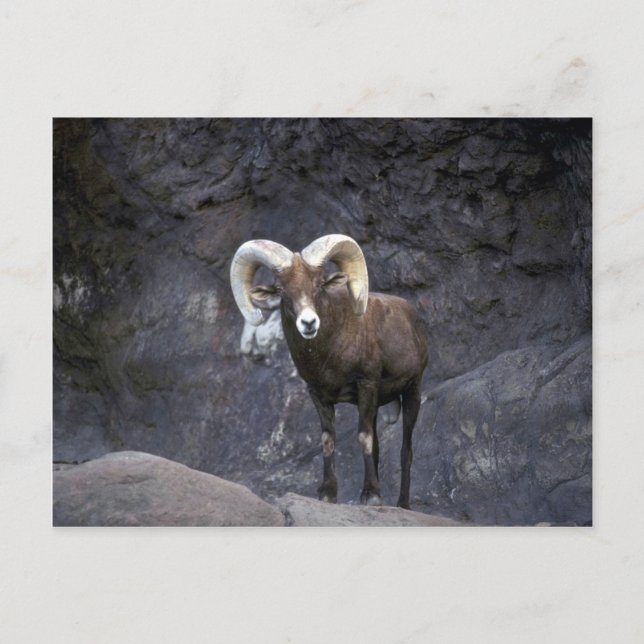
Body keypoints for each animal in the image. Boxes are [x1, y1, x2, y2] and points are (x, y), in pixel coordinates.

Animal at [230, 234, 428, 508]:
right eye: (281, 290)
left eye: (319, 284)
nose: (309, 323)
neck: (329, 353)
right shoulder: (319, 396)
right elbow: (328, 440)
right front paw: (328, 494)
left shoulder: (366, 385)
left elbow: (363, 437)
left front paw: (371, 496)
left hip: (412, 392)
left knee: (405, 451)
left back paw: (402, 504)